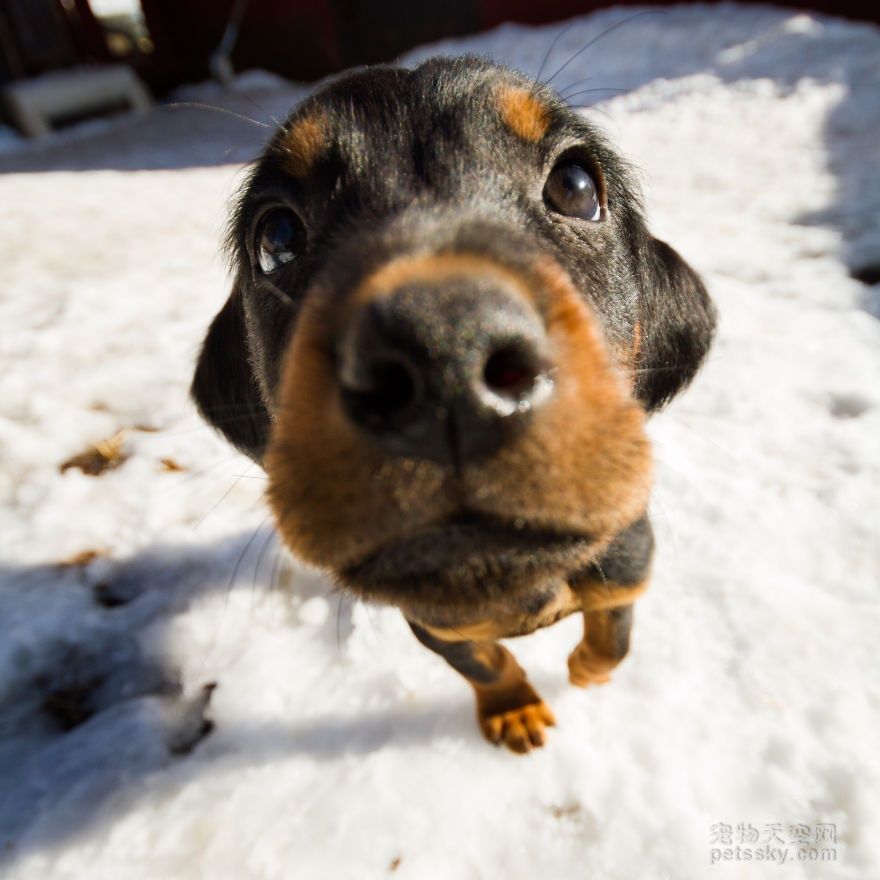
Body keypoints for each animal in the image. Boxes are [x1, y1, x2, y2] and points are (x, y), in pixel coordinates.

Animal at [192, 58, 716, 752]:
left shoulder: (629, 566)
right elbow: (487, 662)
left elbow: (614, 635)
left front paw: (587, 673)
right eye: (276, 236)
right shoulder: (435, 627)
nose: (447, 358)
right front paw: (513, 709)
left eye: (576, 186)